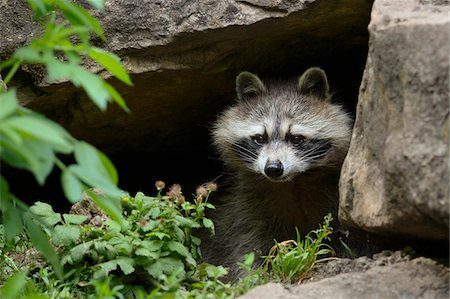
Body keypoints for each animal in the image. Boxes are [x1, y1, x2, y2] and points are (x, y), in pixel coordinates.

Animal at [202, 67, 354, 278]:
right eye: (259, 138)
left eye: (296, 139)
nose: (273, 168)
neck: (293, 183)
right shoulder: (245, 205)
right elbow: (246, 244)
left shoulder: (331, 196)